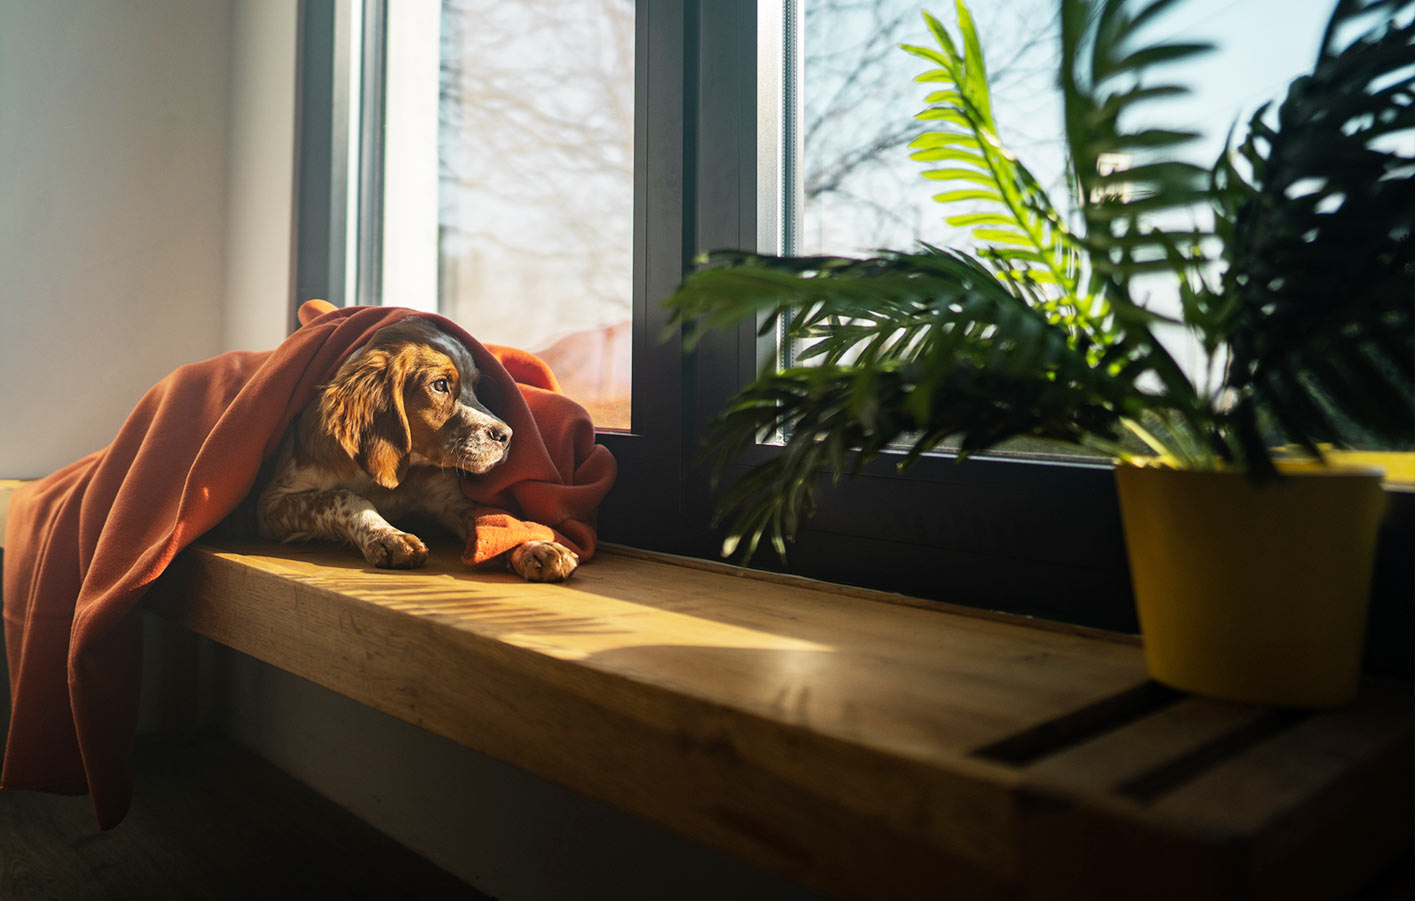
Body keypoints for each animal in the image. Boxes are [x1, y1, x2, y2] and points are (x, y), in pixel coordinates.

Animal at [256, 318, 580, 582]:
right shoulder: (271, 504)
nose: (507, 435)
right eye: (440, 385)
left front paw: (534, 546)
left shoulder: (448, 499)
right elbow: (343, 497)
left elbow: (490, 522)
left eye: (476, 386)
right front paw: (388, 536)